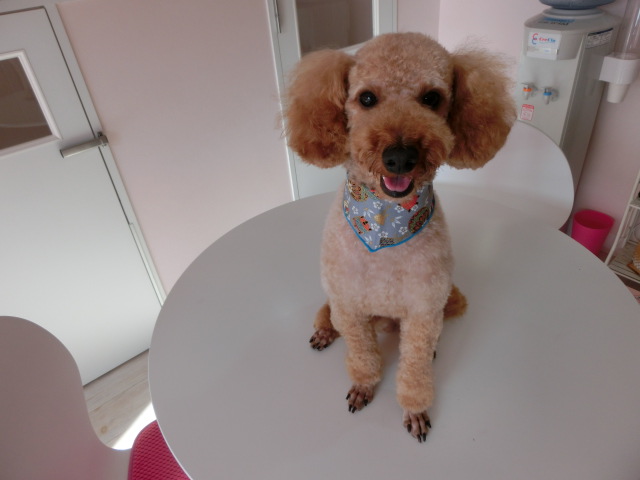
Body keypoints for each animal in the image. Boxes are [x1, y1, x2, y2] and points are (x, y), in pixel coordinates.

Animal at [283, 32, 515, 442]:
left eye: (432, 98)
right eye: (366, 99)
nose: (400, 156)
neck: (385, 224)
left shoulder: (425, 310)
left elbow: (415, 366)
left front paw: (416, 408)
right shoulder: (349, 307)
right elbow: (361, 354)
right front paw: (364, 384)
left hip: (448, 300)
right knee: (327, 315)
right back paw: (324, 332)